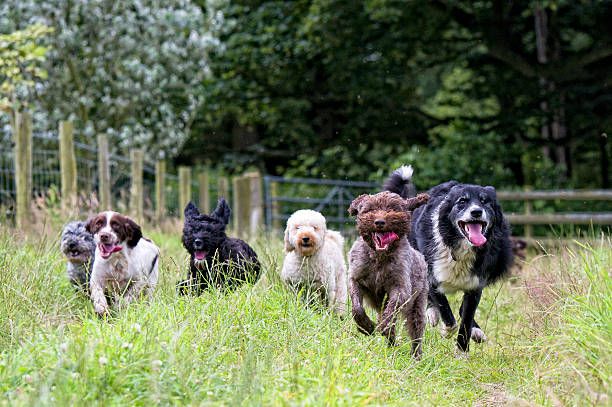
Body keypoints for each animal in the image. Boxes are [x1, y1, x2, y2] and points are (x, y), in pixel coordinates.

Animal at [350, 191, 430, 356]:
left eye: (393, 209)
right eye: (370, 209)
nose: (380, 222)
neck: (379, 257)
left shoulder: (401, 287)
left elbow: (390, 312)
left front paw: (384, 329)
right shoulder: (356, 279)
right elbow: (357, 309)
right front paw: (367, 327)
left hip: (418, 304)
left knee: (416, 330)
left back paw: (416, 355)